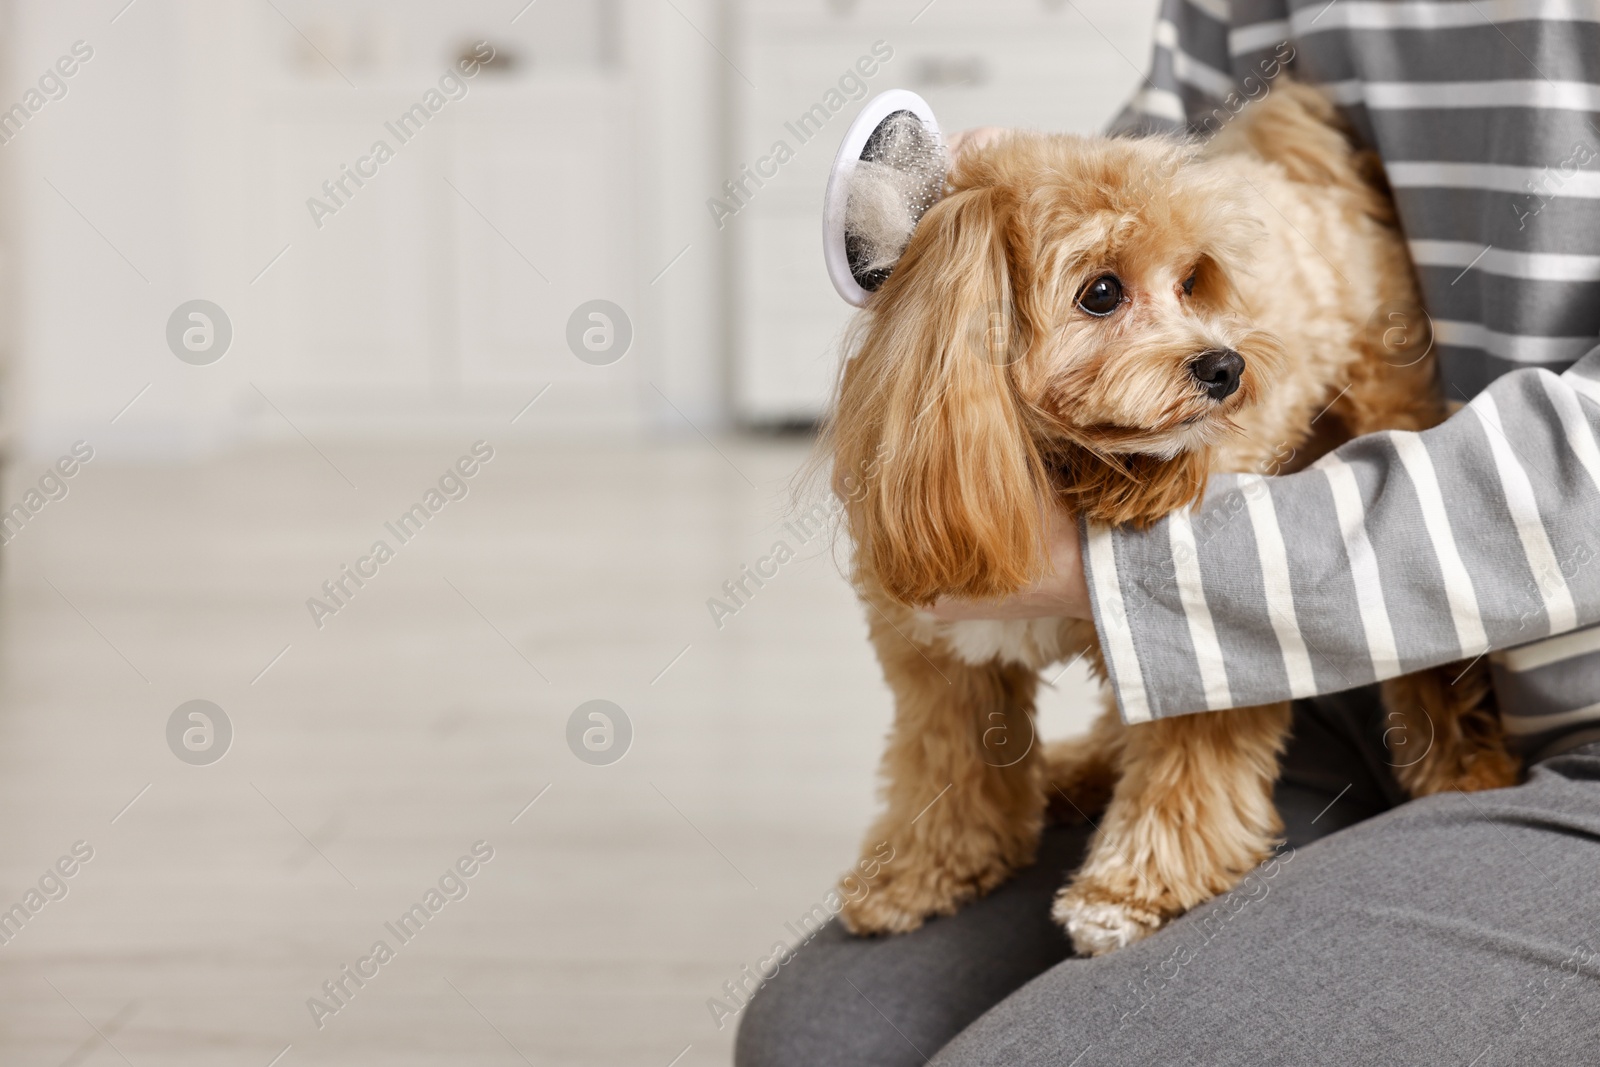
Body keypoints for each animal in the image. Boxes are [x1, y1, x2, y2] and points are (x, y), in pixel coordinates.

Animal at [825, 79, 1510, 953]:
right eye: (1101, 292)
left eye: (1191, 281)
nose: (1226, 366)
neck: (1055, 464)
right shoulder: (942, 658)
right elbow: (947, 766)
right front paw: (920, 871)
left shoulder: (1205, 634)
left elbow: (1188, 771)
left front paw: (1127, 891)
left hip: (1387, 411)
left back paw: (1463, 762)